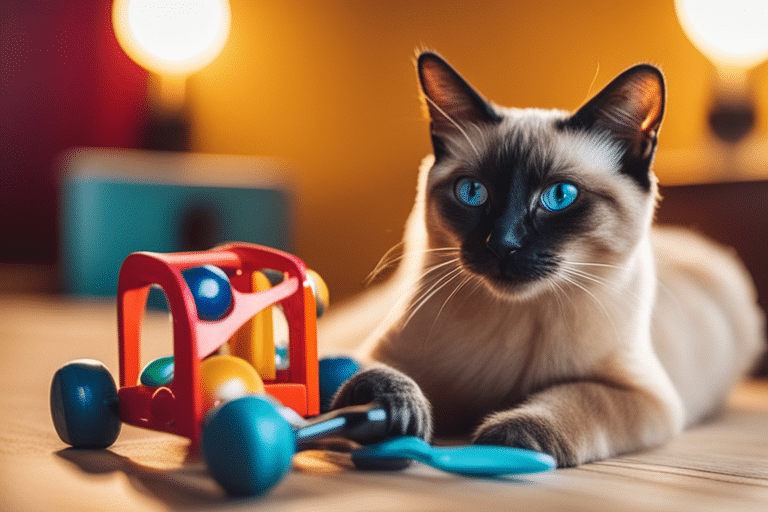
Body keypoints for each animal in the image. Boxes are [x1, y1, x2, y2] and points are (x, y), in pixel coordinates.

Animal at [316, 53, 760, 468]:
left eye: (559, 196)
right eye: (472, 192)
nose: (502, 244)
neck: (517, 315)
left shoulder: (641, 395)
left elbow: (576, 399)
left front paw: (502, 439)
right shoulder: (384, 355)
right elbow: (366, 377)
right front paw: (397, 414)